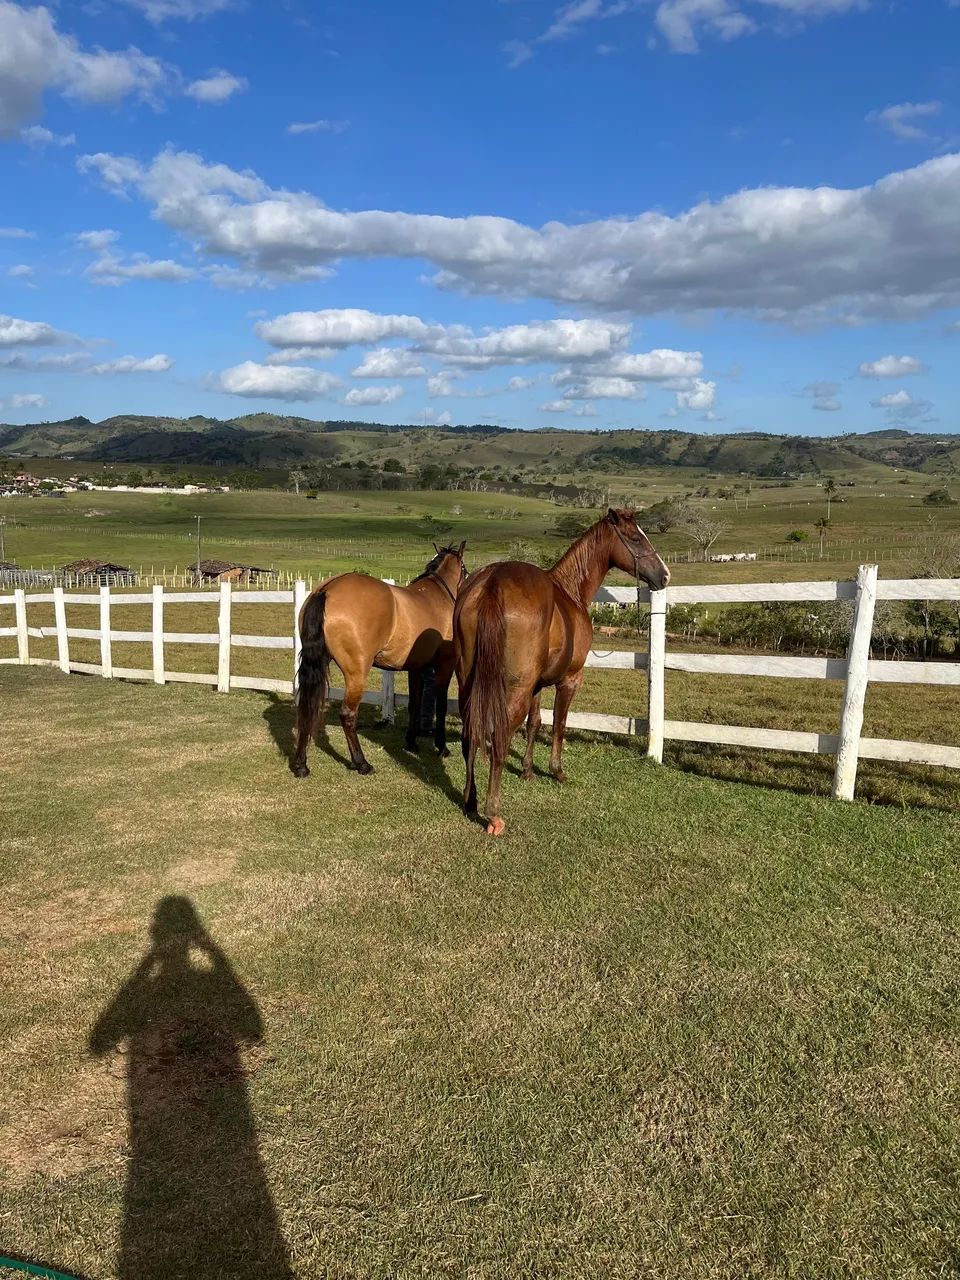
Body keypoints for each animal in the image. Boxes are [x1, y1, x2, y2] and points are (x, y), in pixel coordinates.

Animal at [292, 542, 467, 778]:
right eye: (464, 569)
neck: (437, 597)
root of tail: (327, 589)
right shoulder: (445, 665)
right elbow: (441, 706)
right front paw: (442, 747)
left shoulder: (416, 668)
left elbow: (414, 703)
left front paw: (411, 743)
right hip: (357, 674)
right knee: (348, 715)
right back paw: (361, 763)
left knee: (307, 708)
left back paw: (301, 764)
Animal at [454, 509, 669, 836]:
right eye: (635, 537)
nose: (664, 575)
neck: (570, 591)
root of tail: (492, 582)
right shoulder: (569, 680)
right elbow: (559, 724)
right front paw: (556, 771)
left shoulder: (537, 685)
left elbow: (535, 723)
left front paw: (528, 770)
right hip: (514, 689)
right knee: (499, 739)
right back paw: (493, 813)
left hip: (468, 683)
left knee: (471, 735)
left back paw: (470, 800)